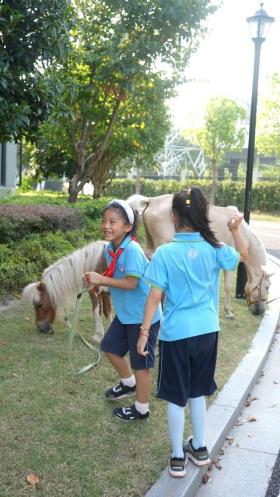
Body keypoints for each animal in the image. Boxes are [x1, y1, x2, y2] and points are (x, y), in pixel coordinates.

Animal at [128, 192, 270, 316]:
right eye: (268, 287)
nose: (260, 311)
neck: (243, 233)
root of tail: (152, 200)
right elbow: (228, 287)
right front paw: (228, 312)